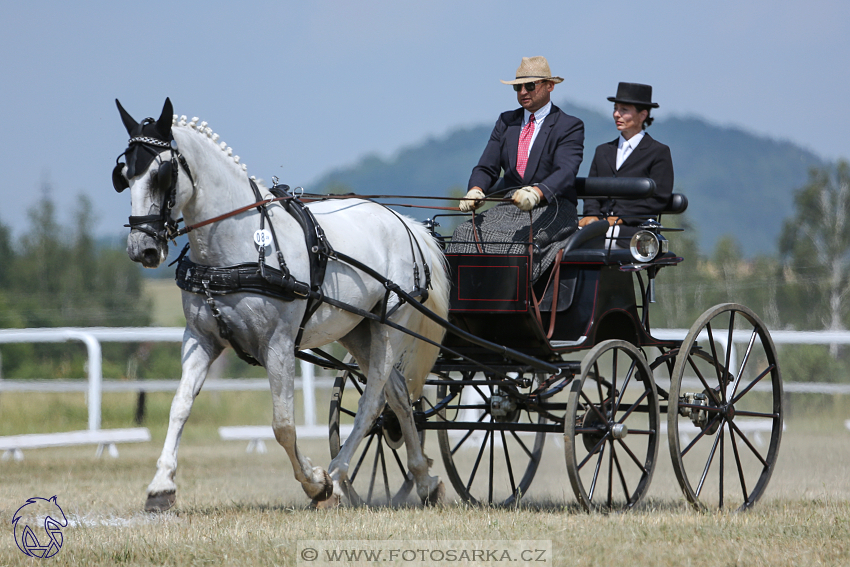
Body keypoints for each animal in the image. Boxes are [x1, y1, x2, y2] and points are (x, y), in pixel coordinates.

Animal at [116, 97, 454, 510]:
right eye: (124, 175)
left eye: (161, 175)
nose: (142, 249)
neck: (240, 245)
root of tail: (407, 225)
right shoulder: (200, 337)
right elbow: (179, 406)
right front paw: (161, 486)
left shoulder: (276, 344)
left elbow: (282, 424)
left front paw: (315, 482)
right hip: (359, 330)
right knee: (400, 398)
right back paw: (424, 480)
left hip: (392, 326)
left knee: (373, 402)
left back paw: (337, 475)